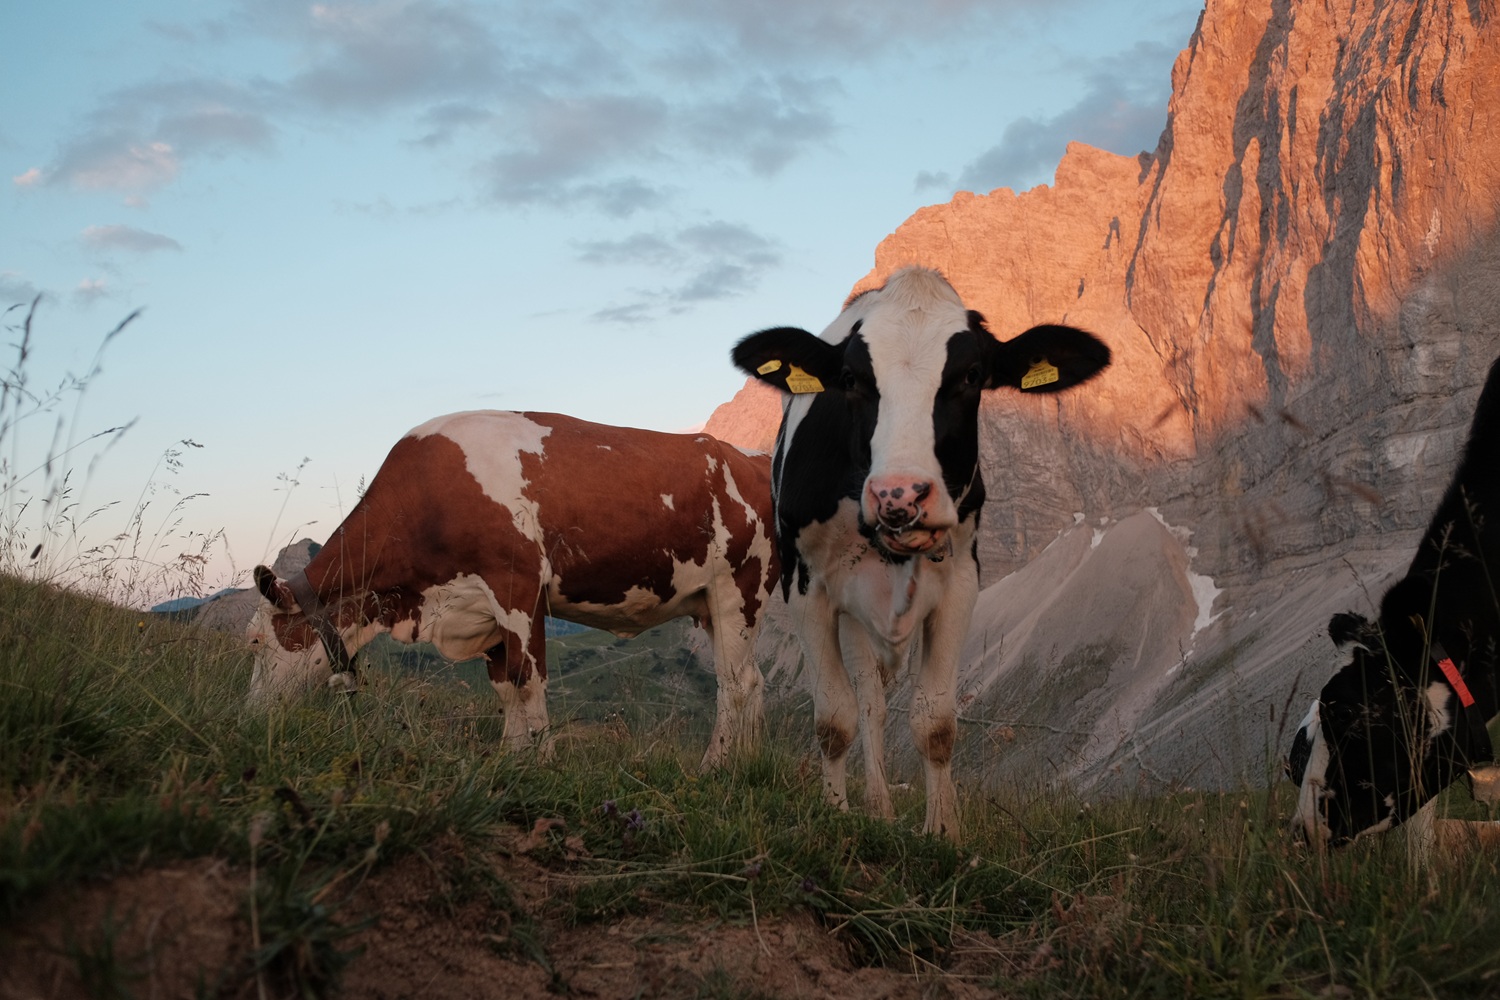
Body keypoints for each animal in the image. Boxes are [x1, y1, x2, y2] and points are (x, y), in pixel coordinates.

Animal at [246, 411, 778, 771]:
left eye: (254, 643)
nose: (248, 714)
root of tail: (749, 457)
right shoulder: (480, 609)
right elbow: (504, 686)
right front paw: (511, 756)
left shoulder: (517, 585)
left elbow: (527, 678)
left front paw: (541, 762)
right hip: (711, 606)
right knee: (754, 681)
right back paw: (744, 767)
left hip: (738, 592)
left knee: (735, 683)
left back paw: (714, 767)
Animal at [731, 267, 1110, 840]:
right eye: (850, 378)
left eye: (972, 375)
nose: (900, 496)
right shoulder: (806, 588)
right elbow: (834, 718)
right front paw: (836, 813)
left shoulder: (960, 584)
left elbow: (935, 722)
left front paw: (944, 831)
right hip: (850, 613)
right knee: (868, 702)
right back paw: (875, 806)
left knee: (879, 704)